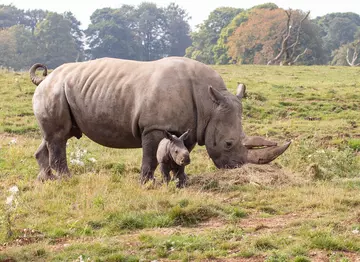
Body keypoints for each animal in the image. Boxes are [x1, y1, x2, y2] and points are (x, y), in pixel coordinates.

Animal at [30, 57, 290, 186]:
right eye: (227, 144)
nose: (237, 168)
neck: (209, 103)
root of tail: (46, 78)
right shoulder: (154, 127)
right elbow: (150, 157)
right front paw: (147, 183)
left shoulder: (191, 128)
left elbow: (182, 152)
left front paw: (181, 180)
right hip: (54, 90)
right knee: (58, 136)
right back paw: (66, 180)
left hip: (60, 91)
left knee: (54, 136)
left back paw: (46, 180)